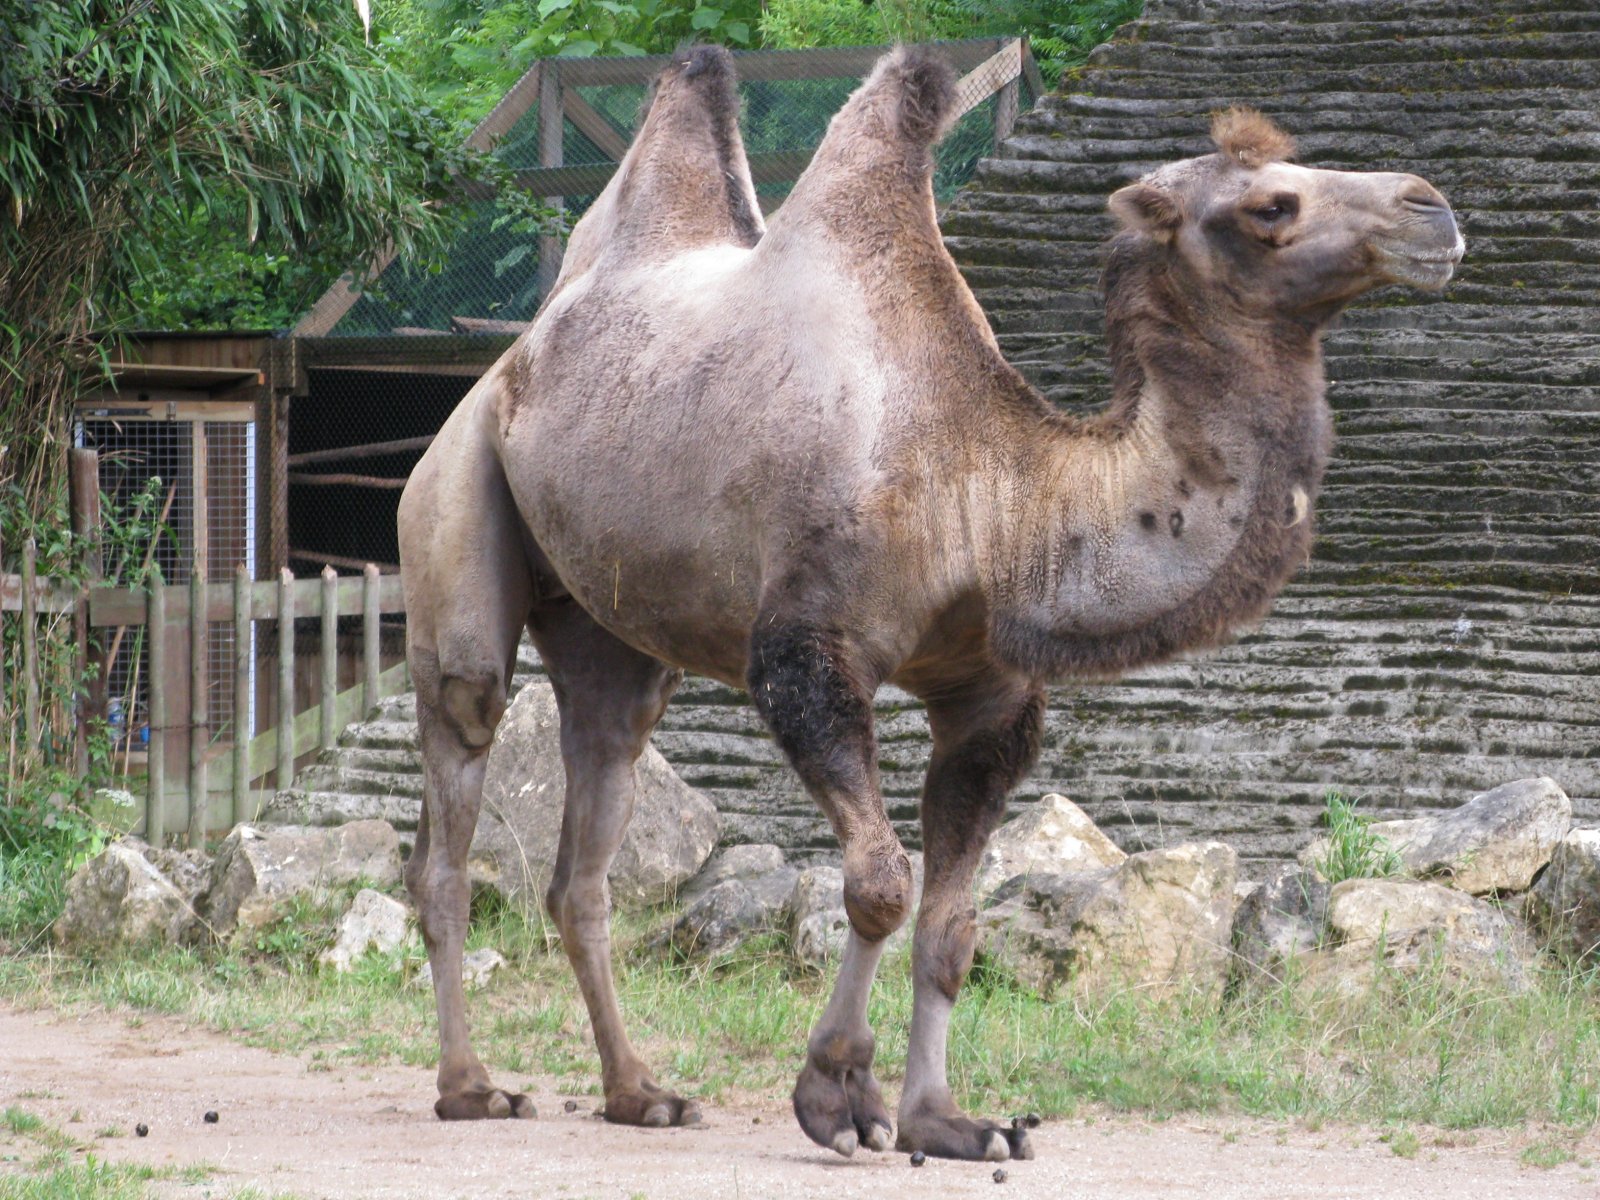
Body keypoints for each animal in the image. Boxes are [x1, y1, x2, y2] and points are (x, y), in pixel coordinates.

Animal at [400, 47, 1465, 1164]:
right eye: (1269, 205)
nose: (1431, 208)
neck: (989, 498)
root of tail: (514, 357)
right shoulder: (806, 651)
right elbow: (879, 885)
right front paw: (833, 1095)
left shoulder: (989, 700)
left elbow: (953, 930)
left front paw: (945, 1120)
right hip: (457, 498)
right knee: (454, 794)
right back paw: (472, 1087)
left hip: (607, 624)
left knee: (591, 822)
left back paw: (639, 1091)